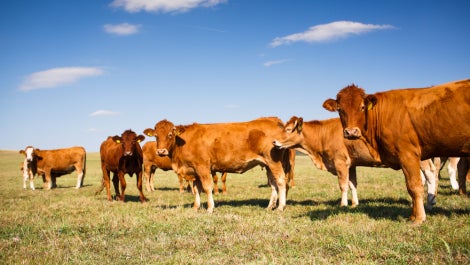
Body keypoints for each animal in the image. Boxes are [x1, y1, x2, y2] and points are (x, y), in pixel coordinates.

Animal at [143, 117, 294, 212]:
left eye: (170, 134)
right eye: (156, 135)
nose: (161, 151)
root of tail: (273, 120)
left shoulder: (202, 167)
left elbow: (207, 187)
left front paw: (210, 208)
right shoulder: (194, 170)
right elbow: (196, 189)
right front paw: (196, 207)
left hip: (274, 162)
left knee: (281, 181)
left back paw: (280, 207)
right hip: (268, 164)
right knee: (274, 184)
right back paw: (270, 206)